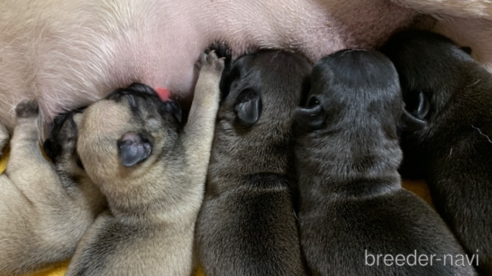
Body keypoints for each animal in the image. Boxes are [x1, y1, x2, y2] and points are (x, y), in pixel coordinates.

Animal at [66, 50, 224, 274]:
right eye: (131, 100)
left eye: (118, 94)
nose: (134, 83)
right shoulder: (194, 147)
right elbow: (201, 108)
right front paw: (209, 71)